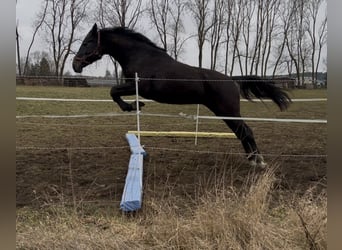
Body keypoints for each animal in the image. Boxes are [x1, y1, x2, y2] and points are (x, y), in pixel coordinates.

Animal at [73, 23, 292, 168]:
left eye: (87, 42)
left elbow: (113, 91)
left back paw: (259, 161)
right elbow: (114, 92)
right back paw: (252, 160)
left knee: (246, 131)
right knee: (242, 132)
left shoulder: (139, 87)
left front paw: (133, 106)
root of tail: (231, 80)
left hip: (227, 110)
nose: (75, 65)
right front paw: (135, 105)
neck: (142, 57)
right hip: (224, 112)